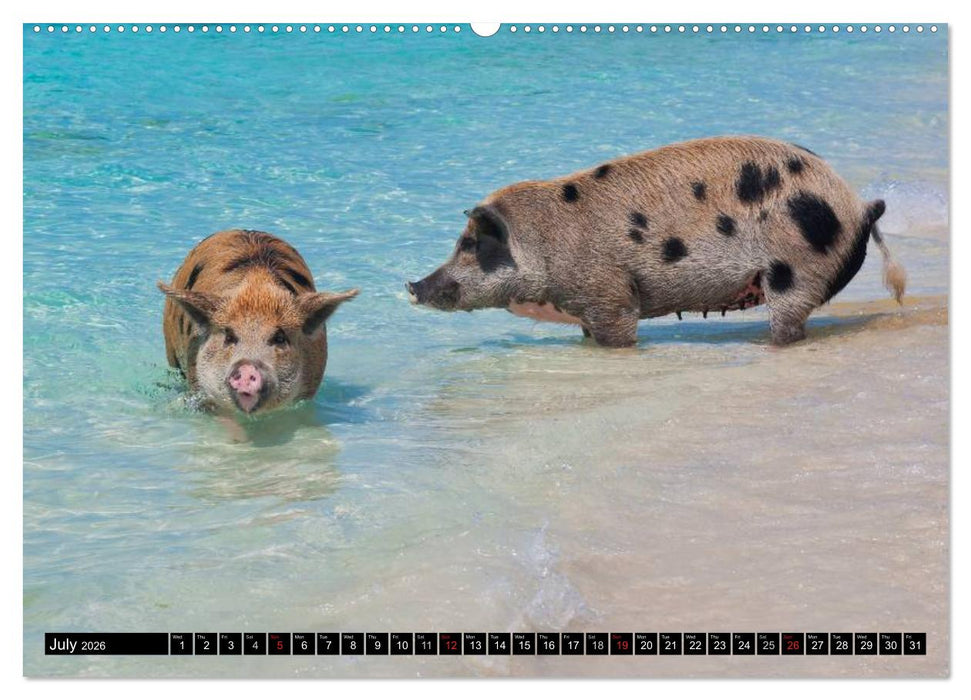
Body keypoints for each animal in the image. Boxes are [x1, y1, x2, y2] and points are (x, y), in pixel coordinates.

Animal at [407, 136, 906, 347]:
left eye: (469, 245)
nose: (412, 285)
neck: (546, 241)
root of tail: (858, 205)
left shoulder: (608, 293)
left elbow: (618, 334)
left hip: (796, 267)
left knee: (788, 323)